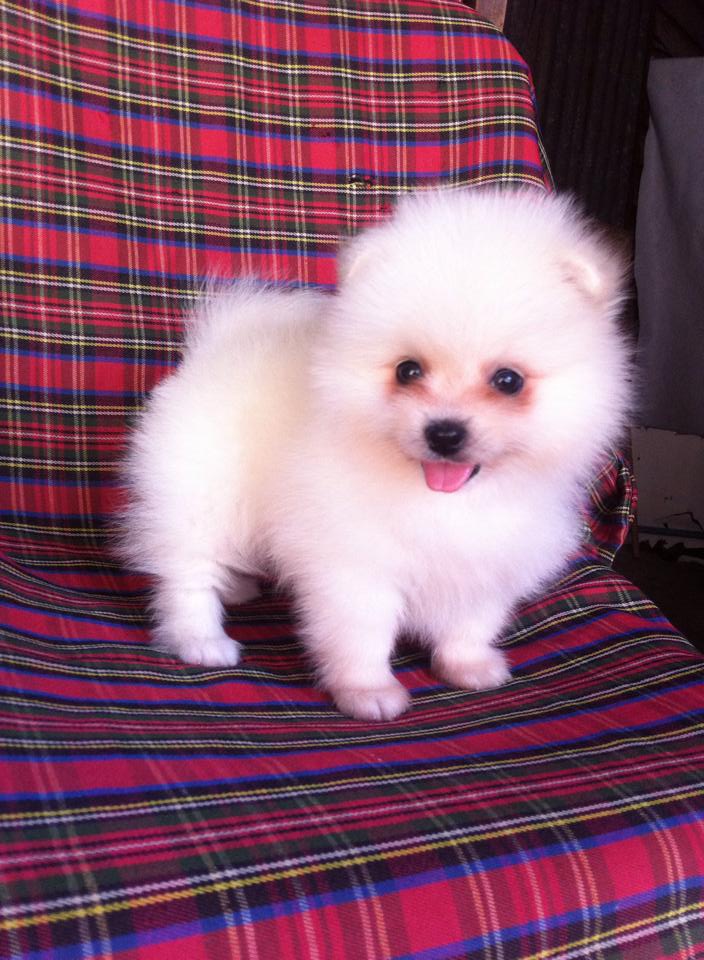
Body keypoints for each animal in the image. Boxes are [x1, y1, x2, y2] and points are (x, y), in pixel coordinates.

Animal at [120, 187, 631, 720]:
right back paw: (201, 640)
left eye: (508, 380)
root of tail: (217, 347)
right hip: (201, 493)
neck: (449, 501)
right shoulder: (354, 564)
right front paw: (368, 692)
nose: (443, 432)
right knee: (189, 571)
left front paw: (468, 666)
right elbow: (363, 635)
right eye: (408, 370)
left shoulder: (486, 564)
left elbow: (469, 624)